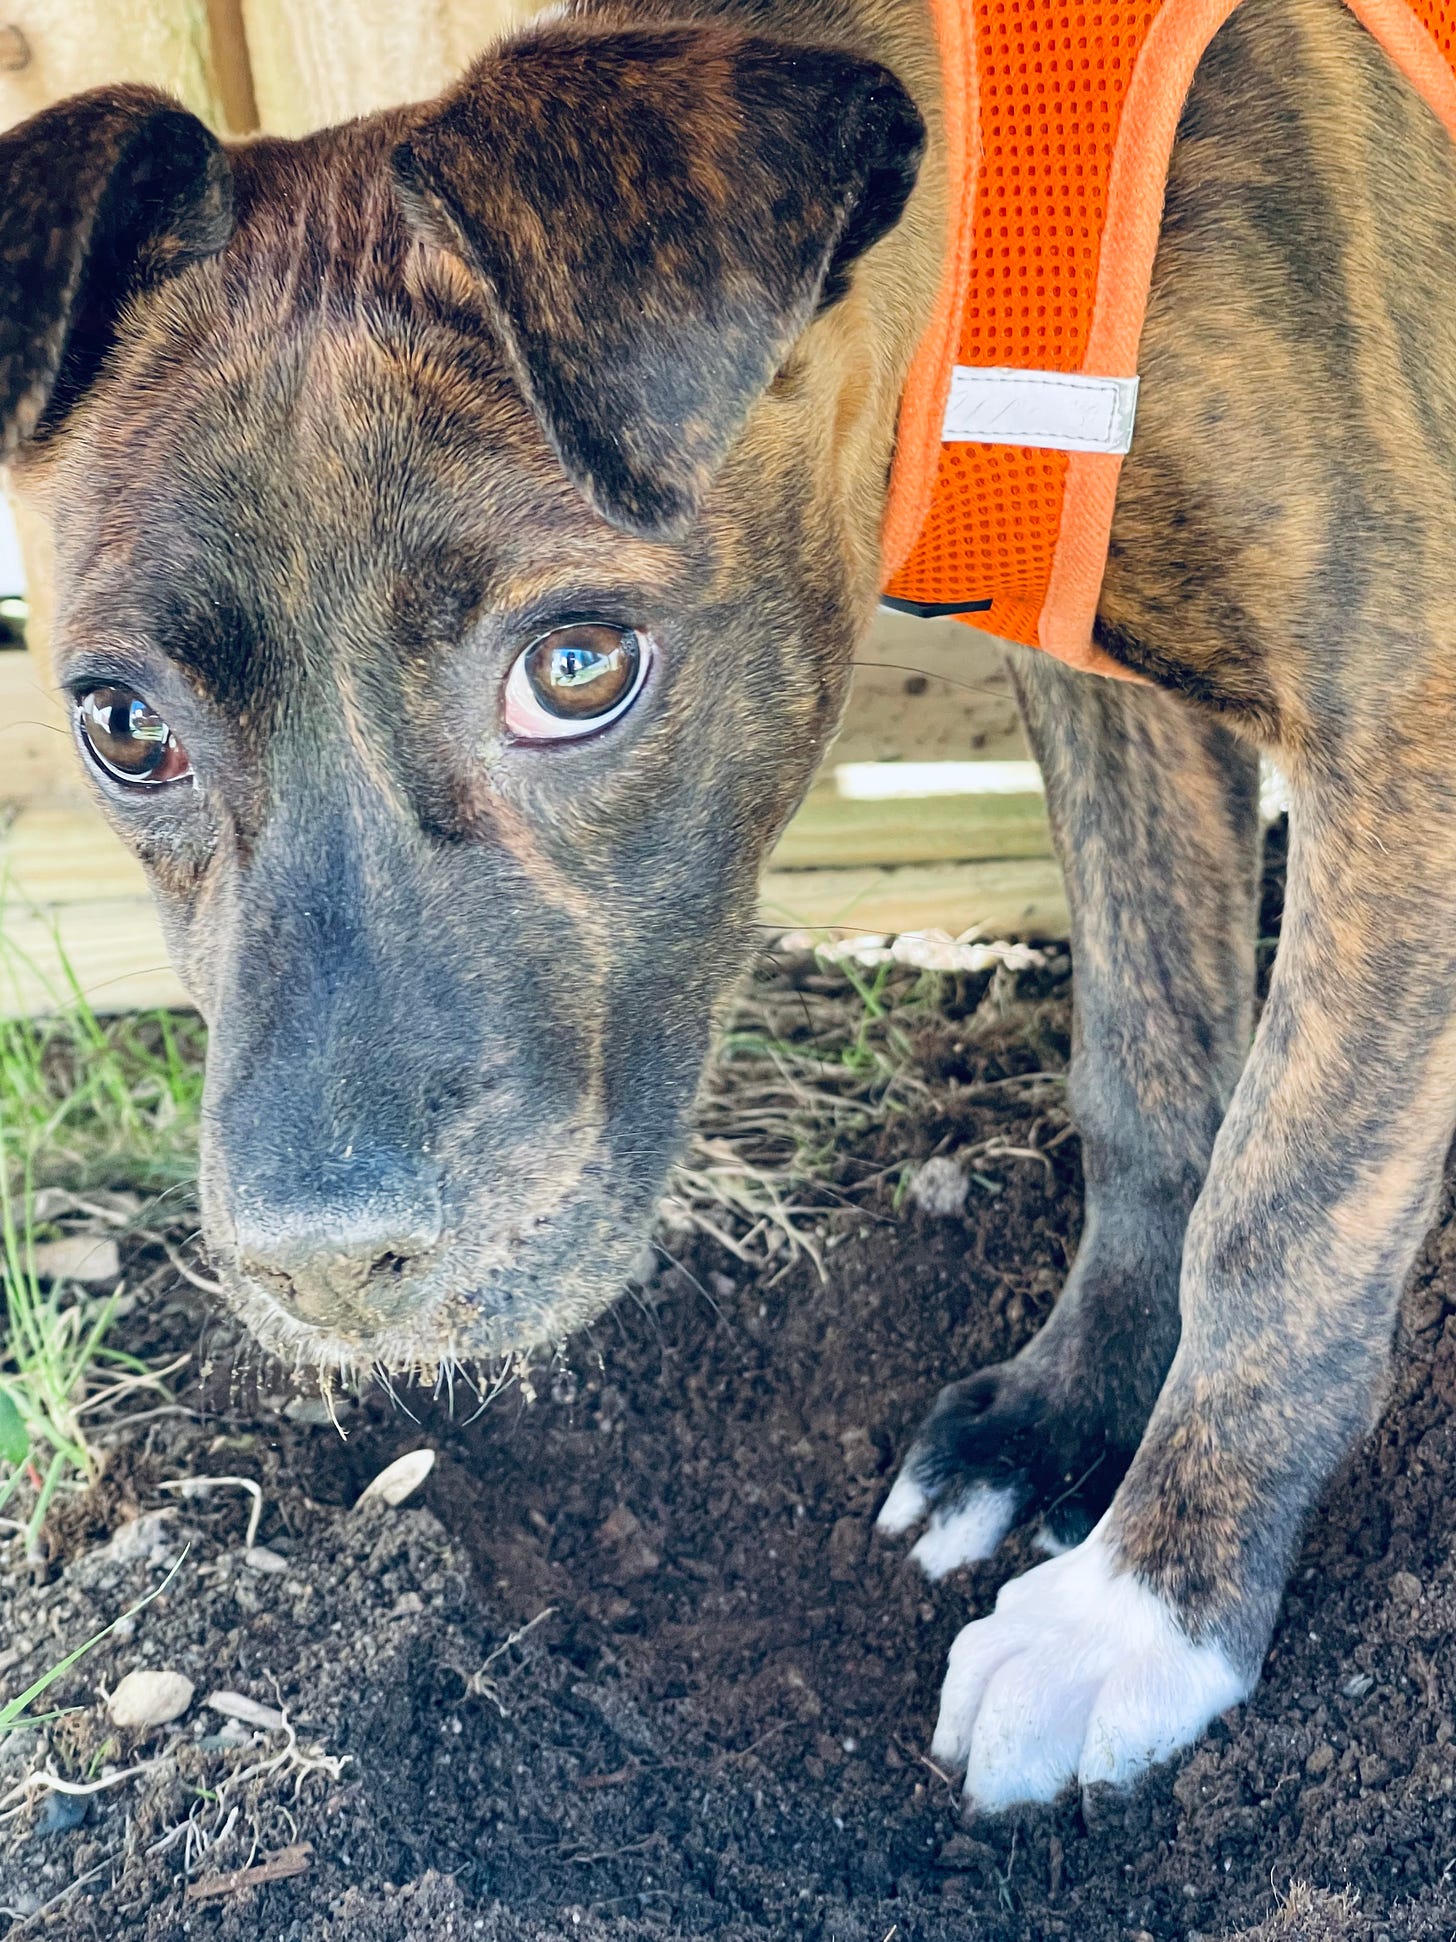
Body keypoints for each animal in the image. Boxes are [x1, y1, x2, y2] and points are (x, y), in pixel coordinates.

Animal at [0, 0, 1452, 1809]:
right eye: (125, 726)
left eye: (578, 667)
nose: (324, 1270)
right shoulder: (1099, 683)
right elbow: (1151, 1062)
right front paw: (1068, 1421)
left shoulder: (1398, 704)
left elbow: (1288, 1201)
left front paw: (1150, 1604)